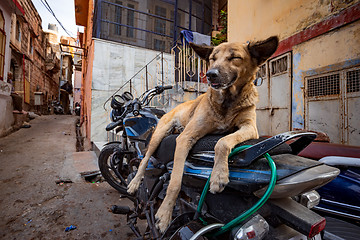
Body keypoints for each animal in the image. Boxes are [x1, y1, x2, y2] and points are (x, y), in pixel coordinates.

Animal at [128, 36, 280, 232]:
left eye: (234, 58)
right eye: (213, 58)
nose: (210, 74)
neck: (227, 101)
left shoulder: (250, 128)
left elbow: (222, 142)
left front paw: (219, 175)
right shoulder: (185, 138)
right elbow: (175, 183)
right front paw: (164, 215)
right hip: (158, 136)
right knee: (144, 160)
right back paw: (133, 184)